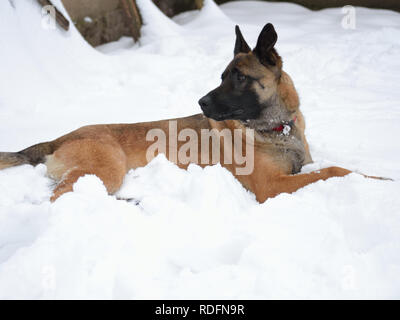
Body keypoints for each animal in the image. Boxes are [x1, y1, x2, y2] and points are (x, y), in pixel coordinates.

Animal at [0, 23, 382, 202]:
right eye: (222, 76)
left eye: (239, 77)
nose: (201, 103)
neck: (275, 128)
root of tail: (58, 138)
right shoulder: (271, 186)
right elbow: (334, 170)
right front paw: (379, 182)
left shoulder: (300, 166)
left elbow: (334, 168)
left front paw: (373, 177)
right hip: (106, 167)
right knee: (58, 198)